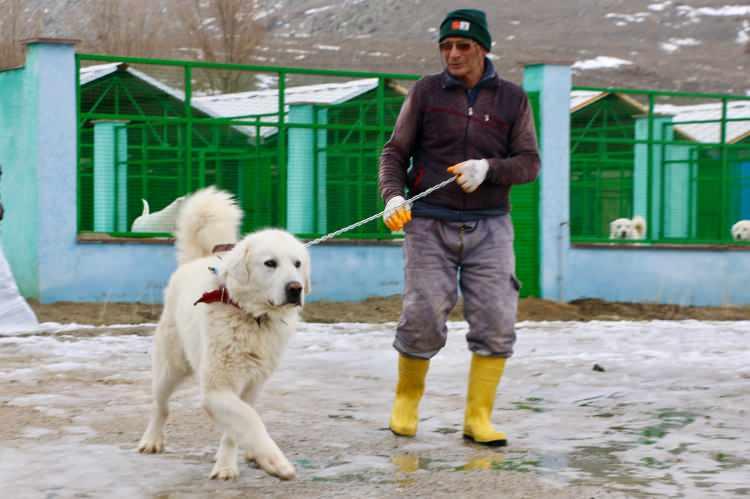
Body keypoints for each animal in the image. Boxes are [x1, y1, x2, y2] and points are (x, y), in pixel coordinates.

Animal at [138, 187, 312, 480]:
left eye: (297, 264)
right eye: (270, 263)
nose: (295, 288)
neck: (252, 318)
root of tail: (196, 260)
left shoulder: (252, 385)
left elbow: (237, 426)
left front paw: (229, 464)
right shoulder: (216, 389)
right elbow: (251, 420)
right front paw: (276, 461)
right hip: (170, 369)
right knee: (159, 406)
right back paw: (151, 440)